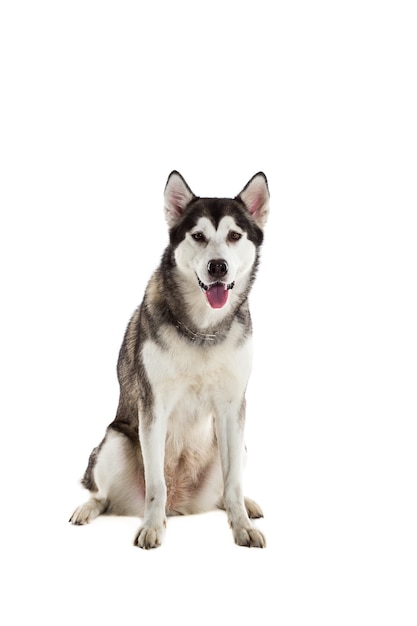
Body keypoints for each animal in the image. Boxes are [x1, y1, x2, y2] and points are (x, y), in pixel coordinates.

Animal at [70, 171, 268, 544]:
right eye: (198, 236)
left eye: (234, 236)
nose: (217, 266)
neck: (203, 329)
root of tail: (180, 504)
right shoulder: (153, 406)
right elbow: (155, 484)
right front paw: (150, 527)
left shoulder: (233, 407)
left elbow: (233, 482)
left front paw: (242, 527)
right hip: (114, 441)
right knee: (104, 496)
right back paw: (89, 509)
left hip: (240, 448)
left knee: (225, 491)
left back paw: (245, 506)